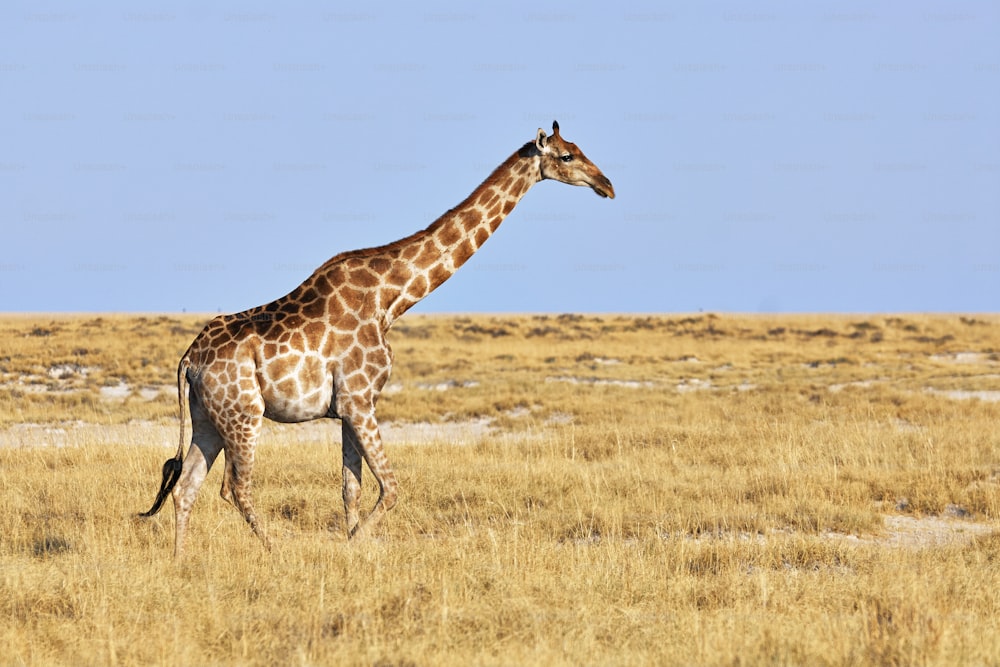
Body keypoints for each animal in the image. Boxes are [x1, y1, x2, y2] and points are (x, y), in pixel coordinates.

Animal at [139, 121, 608, 560]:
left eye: (578, 149)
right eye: (567, 156)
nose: (607, 185)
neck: (391, 298)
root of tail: (189, 359)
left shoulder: (350, 407)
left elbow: (352, 490)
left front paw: (353, 547)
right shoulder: (360, 400)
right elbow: (392, 487)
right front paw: (354, 545)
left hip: (207, 417)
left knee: (185, 487)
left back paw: (180, 561)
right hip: (243, 414)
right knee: (234, 487)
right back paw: (276, 552)